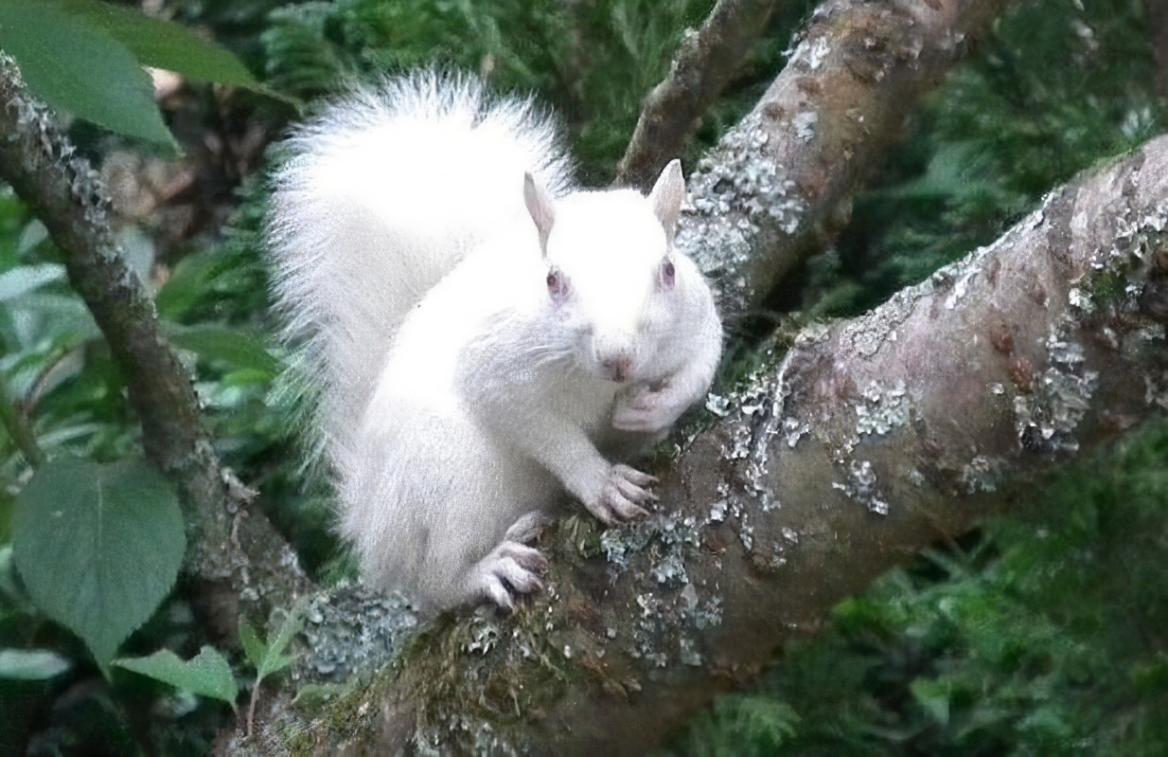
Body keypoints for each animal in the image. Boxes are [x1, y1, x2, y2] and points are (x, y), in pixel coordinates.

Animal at [267, 73, 719, 612]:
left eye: (667, 270)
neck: (595, 382)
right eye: (552, 280)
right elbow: (539, 427)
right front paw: (601, 482)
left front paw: (651, 410)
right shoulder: (497, 365)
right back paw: (486, 570)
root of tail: (369, 522)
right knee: (435, 578)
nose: (618, 357)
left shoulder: (699, 318)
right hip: (447, 478)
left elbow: (701, 369)